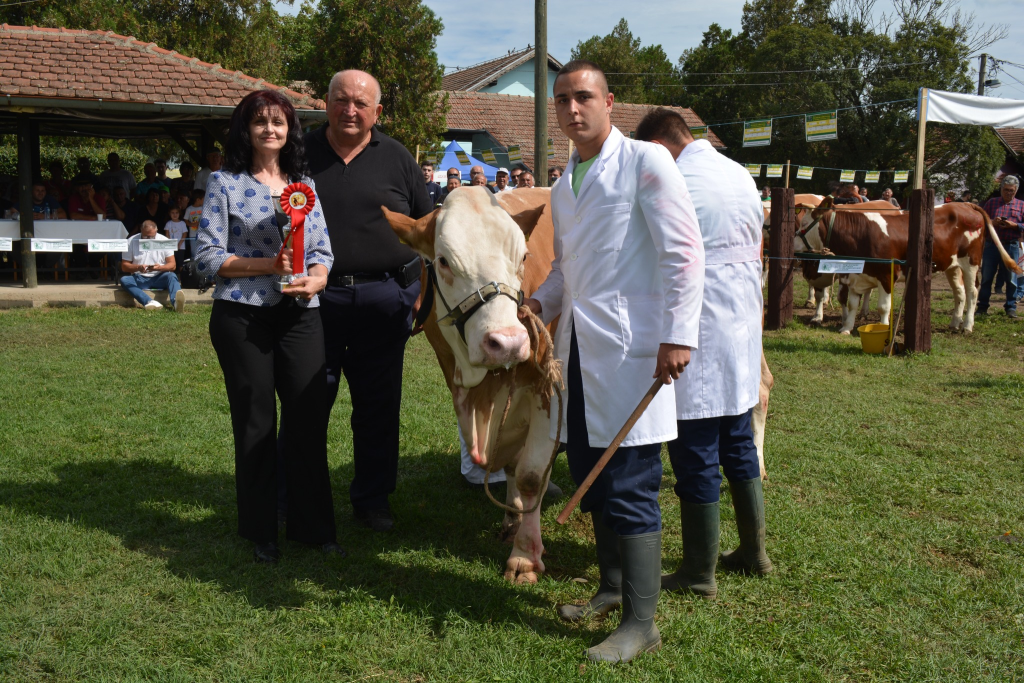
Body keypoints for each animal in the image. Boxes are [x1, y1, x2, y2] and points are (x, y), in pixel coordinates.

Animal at [385, 187, 775, 585]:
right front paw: (512, 518)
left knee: (759, 389)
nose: (508, 341)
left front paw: (525, 557)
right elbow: (510, 467)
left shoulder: (553, 393)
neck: (482, 395)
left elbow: (529, 475)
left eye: (522, 257)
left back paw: (756, 468)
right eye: (444, 261)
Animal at [794, 198, 1022, 334]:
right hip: (952, 265)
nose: (793, 244)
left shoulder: (887, 275)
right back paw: (954, 323)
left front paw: (883, 328)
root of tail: (965, 204)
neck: (860, 234)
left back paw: (967, 326)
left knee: (973, 292)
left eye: (804, 225)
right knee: (959, 293)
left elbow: (883, 306)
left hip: (971, 262)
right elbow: (851, 304)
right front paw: (846, 329)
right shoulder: (855, 275)